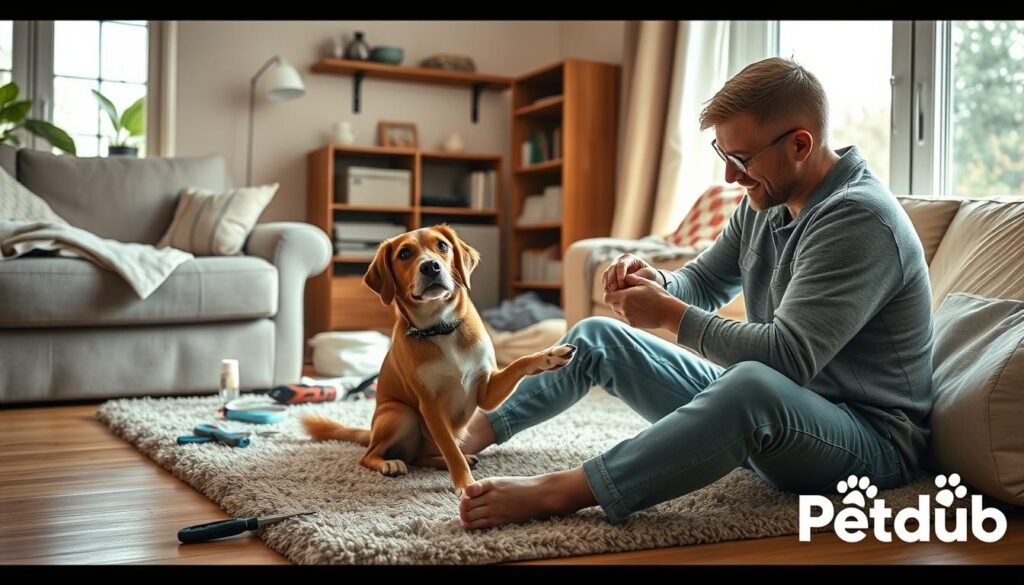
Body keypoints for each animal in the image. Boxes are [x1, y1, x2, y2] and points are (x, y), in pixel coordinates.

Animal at [301, 226, 577, 491]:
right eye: (404, 253)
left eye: (442, 246)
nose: (430, 266)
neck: (441, 327)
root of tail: (370, 432)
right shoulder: (430, 405)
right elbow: (451, 450)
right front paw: (465, 485)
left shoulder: (485, 392)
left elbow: (519, 363)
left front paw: (550, 356)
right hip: (400, 413)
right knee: (371, 455)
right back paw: (389, 463)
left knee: (419, 456)